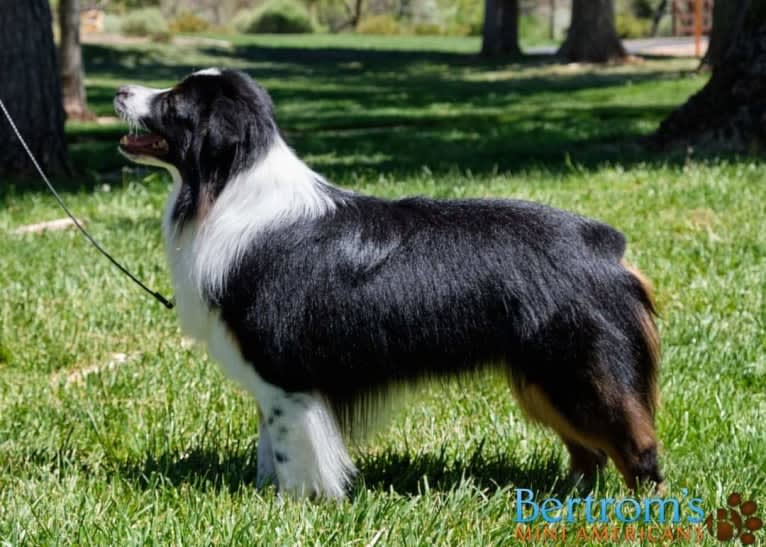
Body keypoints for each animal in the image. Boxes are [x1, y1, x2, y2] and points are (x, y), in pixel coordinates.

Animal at [114, 68, 664, 500]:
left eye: (174, 101)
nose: (119, 90)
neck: (226, 187)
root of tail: (607, 246)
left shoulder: (284, 372)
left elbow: (291, 449)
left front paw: (294, 507)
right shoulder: (271, 380)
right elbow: (269, 446)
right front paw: (265, 496)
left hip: (580, 370)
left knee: (636, 447)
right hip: (544, 380)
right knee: (588, 451)